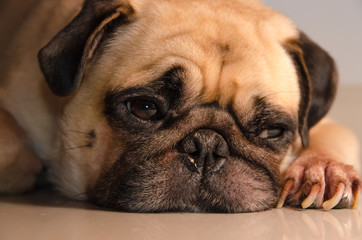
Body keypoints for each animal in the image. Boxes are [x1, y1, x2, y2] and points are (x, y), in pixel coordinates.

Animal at [0, 0, 360, 212]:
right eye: (145, 108)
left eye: (272, 131)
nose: (208, 146)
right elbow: (13, 141)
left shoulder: (322, 125)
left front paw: (323, 170)